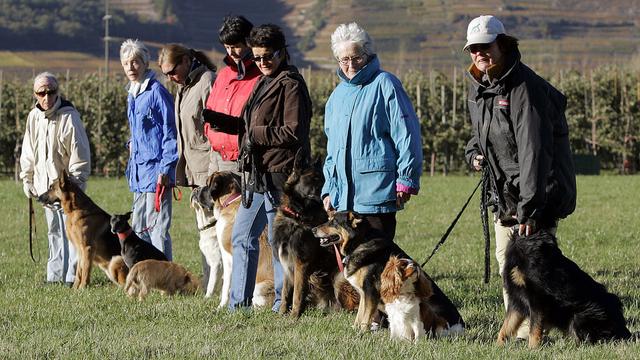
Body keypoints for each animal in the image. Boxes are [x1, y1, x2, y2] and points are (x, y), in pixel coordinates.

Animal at [312, 211, 464, 332]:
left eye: (334, 222)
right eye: (329, 219)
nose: (313, 230)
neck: (360, 242)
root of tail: (460, 327)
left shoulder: (371, 292)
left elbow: (365, 317)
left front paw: (361, 333)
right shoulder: (363, 293)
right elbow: (360, 315)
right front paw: (355, 330)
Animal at [496, 229, 632, 348]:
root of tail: (624, 330)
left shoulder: (538, 299)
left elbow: (534, 329)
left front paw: (532, 350)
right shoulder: (516, 300)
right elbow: (506, 327)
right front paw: (498, 347)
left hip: (581, 316)